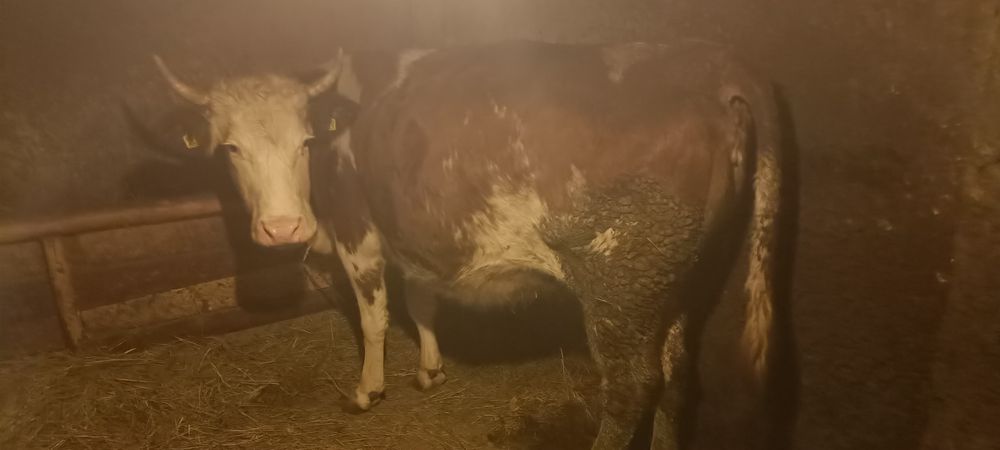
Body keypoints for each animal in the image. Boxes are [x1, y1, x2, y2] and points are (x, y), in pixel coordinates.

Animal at [154, 40, 783, 449]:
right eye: (230, 147)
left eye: (306, 141)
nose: (281, 227)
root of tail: (705, 66)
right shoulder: (412, 234)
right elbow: (422, 300)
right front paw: (430, 370)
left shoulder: (359, 230)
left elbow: (375, 317)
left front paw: (367, 390)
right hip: (678, 281)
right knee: (678, 377)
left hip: (620, 283)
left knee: (633, 389)